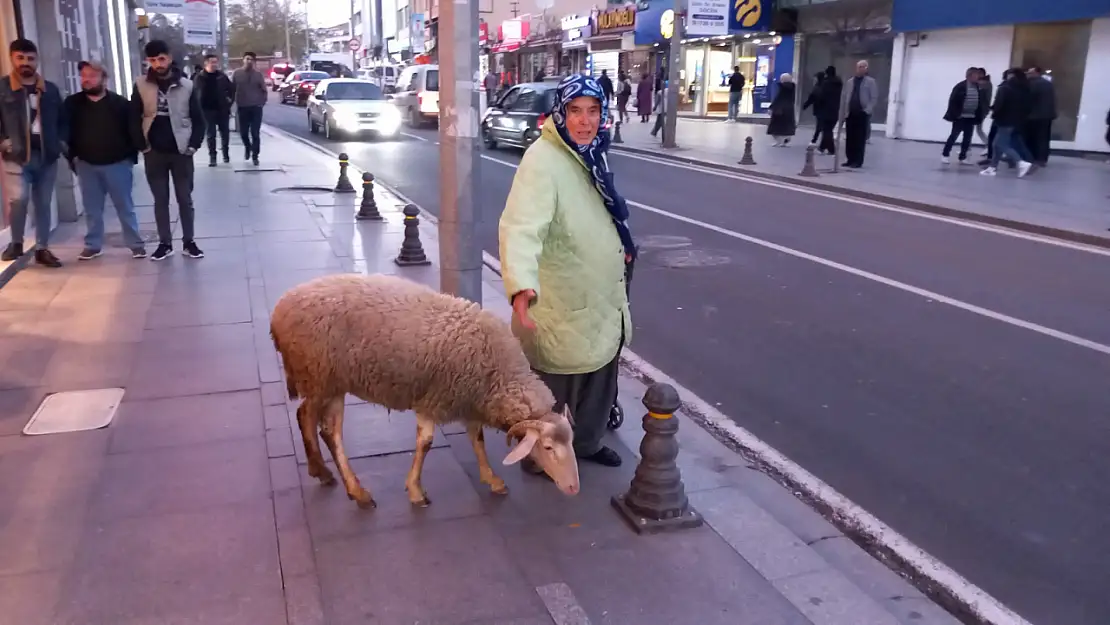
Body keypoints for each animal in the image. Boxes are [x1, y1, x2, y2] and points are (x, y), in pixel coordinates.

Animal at [268, 273, 581, 508]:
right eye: (548, 447)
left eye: (571, 443)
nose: (574, 488)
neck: (498, 374)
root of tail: (279, 310)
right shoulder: (434, 399)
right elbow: (426, 443)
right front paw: (416, 491)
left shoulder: (469, 399)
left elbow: (477, 440)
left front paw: (492, 479)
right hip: (318, 375)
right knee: (316, 423)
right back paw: (353, 489)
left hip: (330, 381)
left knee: (319, 425)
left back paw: (327, 474)